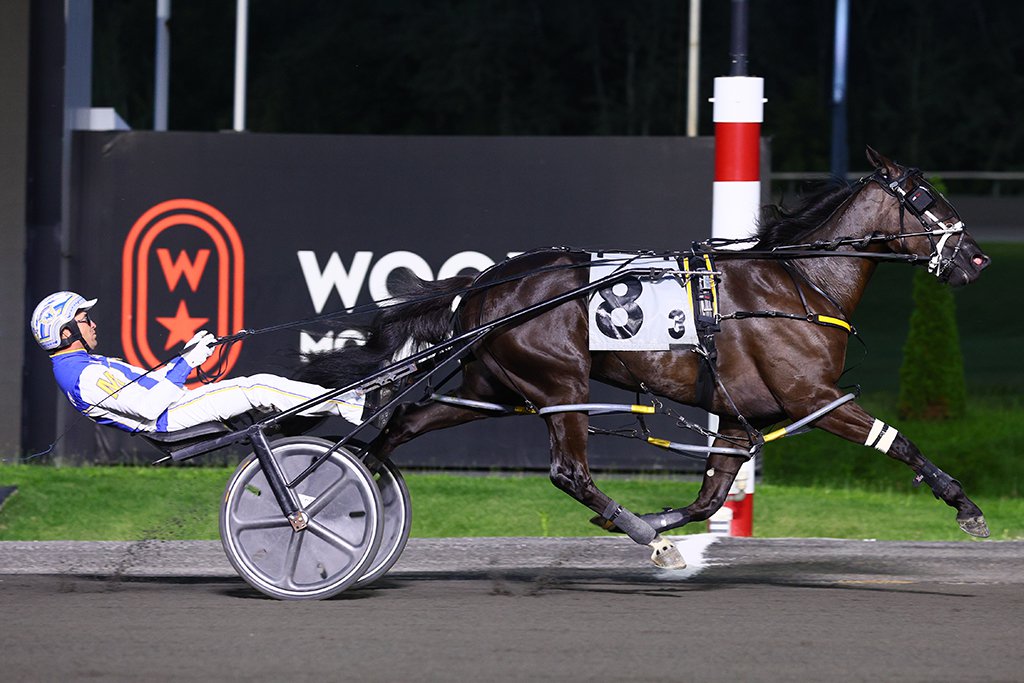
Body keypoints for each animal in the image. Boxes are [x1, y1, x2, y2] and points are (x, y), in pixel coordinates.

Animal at [301, 148, 991, 565]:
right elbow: (898, 441)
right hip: (560, 385)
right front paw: (966, 506)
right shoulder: (813, 398)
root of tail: (482, 284)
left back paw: (331, 498)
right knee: (568, 473)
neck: (797, 281)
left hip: (490, 385)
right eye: (927, 199)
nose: (978, 259)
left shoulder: (739, 417)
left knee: (401, 425)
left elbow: (711, 498)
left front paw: (660, 521)